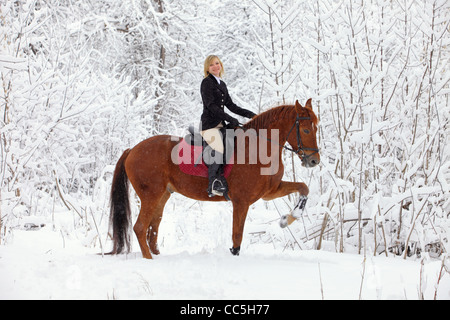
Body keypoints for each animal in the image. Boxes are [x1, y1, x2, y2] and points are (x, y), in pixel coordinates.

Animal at [109, 99, 320, 258]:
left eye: (316, 129)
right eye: (306, 130)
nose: (314, 160)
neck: (259, 148)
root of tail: (132, 150)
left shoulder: (270, 191)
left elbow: (304, 188)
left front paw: (289, 219)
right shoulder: (241, 201)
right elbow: (237, 236)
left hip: (162, 195)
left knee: (153, 228)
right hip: (150, 195)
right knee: (140, 227)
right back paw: (149, 260)